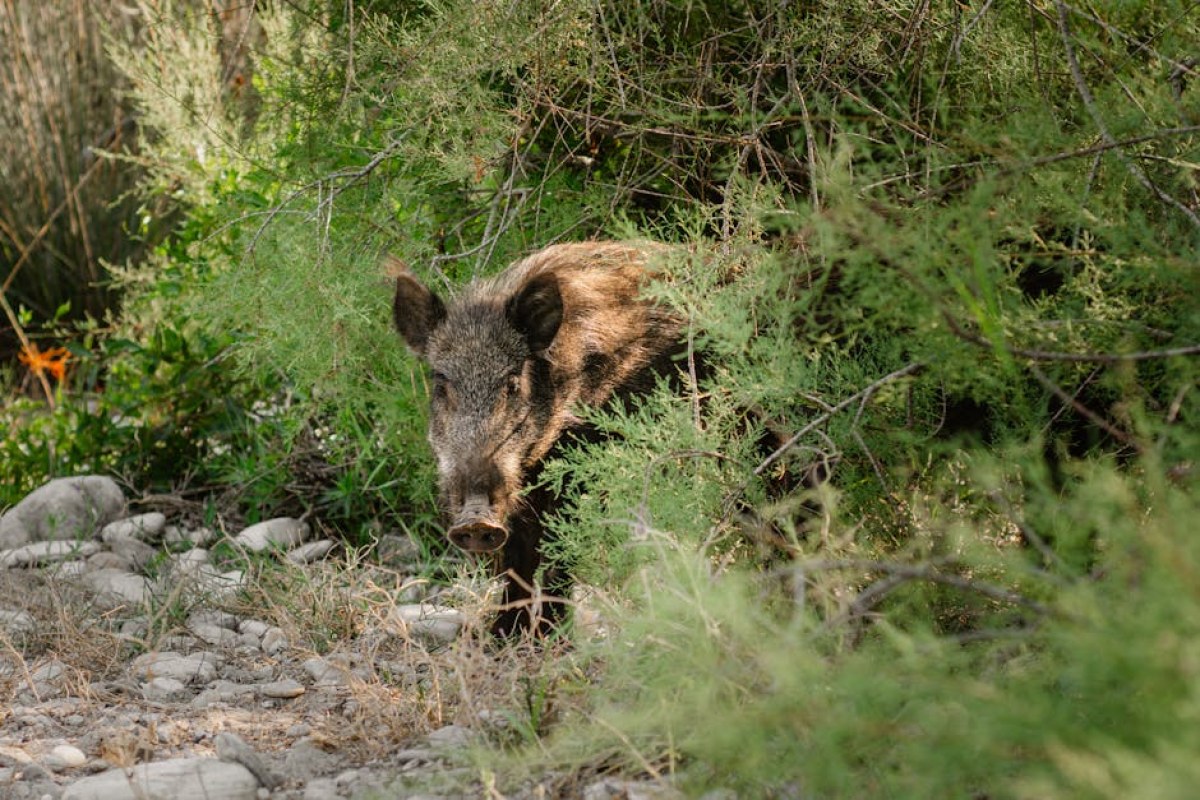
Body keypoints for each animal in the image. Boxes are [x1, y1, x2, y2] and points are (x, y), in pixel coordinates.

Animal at [390, 242, 687, 635]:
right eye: (441, 383)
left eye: (512, 383)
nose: (475, 521)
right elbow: (518, 555)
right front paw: (502, 636)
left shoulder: (575, 468)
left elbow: (557, 547)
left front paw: (550, 636)